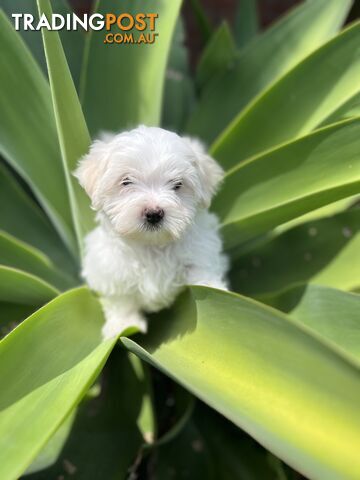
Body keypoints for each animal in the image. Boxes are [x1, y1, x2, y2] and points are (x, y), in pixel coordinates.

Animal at [74, 125, 228, 340]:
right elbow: (121, 300)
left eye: (177, 184)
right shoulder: (110, 269)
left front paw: (216, 291)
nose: (154, 213)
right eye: (126, 181)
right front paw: (123, 324)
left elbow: (201, 272)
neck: (151, 245)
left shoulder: (200, 251)